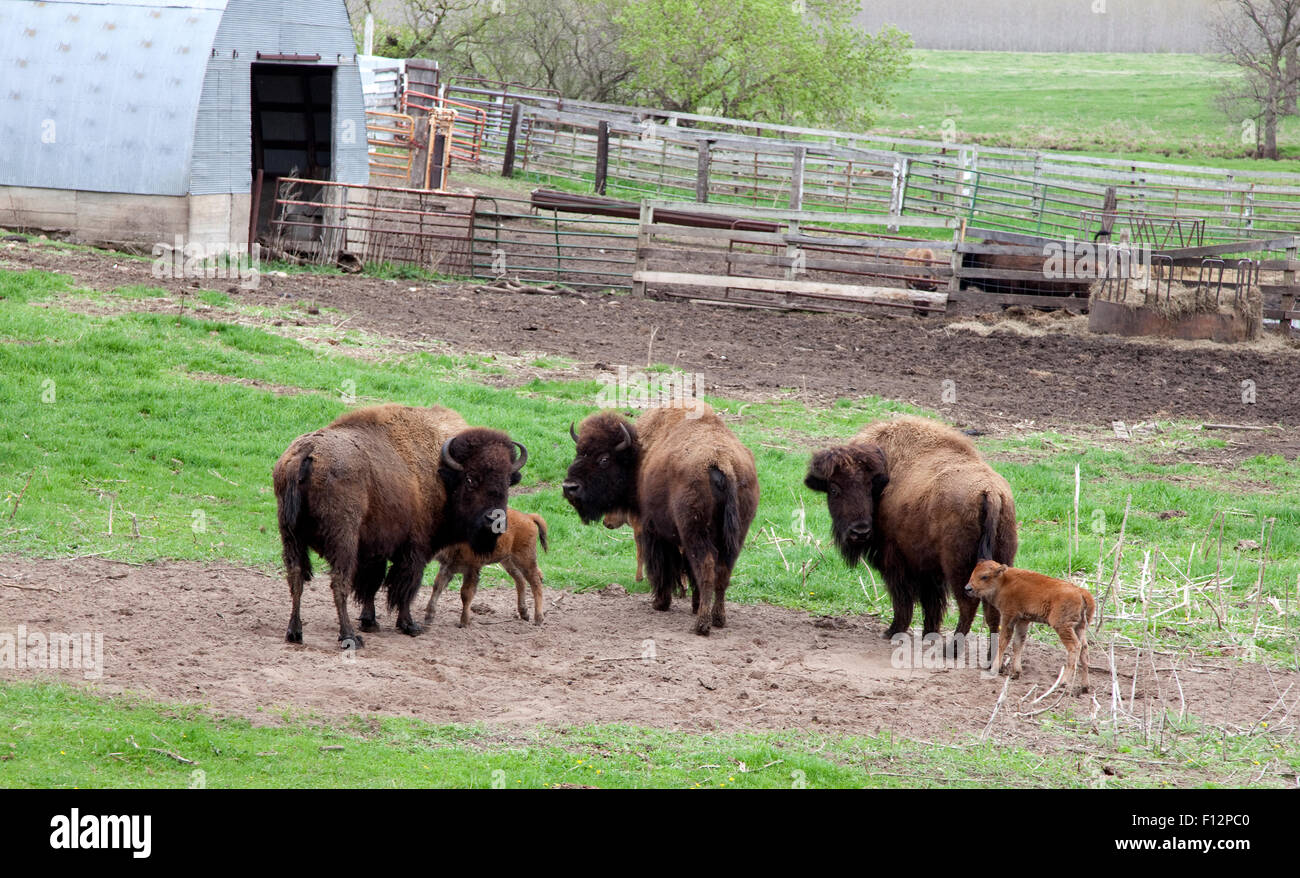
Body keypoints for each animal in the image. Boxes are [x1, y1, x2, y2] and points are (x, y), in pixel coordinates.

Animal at [273, 403, 527, 648]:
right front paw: (409, 626)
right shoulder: (414, 549)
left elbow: (372, 584)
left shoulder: (375, 550)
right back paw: (350, 637)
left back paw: (295, 633)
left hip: (291, 536)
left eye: (507, 482)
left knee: (296, 577)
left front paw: (370, 622)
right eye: (471, 479)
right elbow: (405, 586)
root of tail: (308, 452)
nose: (495, 521)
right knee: (339, 582)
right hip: (343, 540)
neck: (442, 474)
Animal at [562, 402, 759, 635]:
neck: (639, 455)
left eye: (604, 459)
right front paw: (691, 604)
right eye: (579, 452)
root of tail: (722, 462)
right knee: (722, 572)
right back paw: (718, 618)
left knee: (706, 569)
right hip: (735, 536)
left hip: (695, 533)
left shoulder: (654, 531)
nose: (569, 487)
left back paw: (701, 624)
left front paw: (660, 603)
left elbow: (661, 566)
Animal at [804, 416, 1017, 642]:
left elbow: (903, 598)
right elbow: (931, 602)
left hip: (959, 568)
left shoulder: (896, 562)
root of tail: (990, 492)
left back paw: (952, 646)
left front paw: (893, 631)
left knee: (968, 604)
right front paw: (929, 633)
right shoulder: (928, 569)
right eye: (834, 489)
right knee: (992, 610)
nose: (859, 531)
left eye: (870, 487)